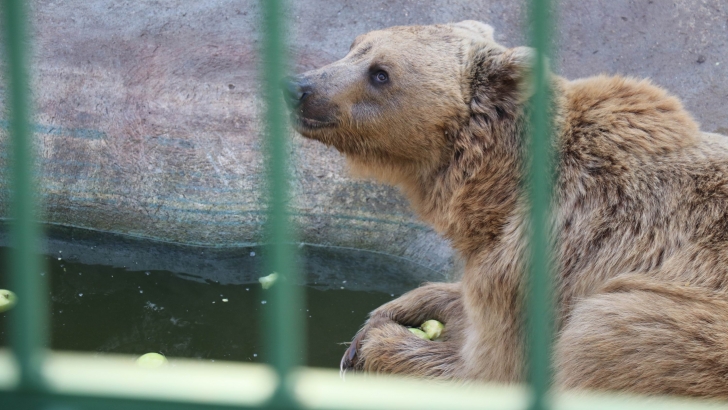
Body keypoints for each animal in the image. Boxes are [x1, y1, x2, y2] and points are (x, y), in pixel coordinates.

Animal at [286, 20, 728, 398]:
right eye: (355, 46)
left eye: (381, 73)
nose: (299, 87)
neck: (495, 188)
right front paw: (394, 310)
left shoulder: (533, 263)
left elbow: (489, 370)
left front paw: (373, 346)